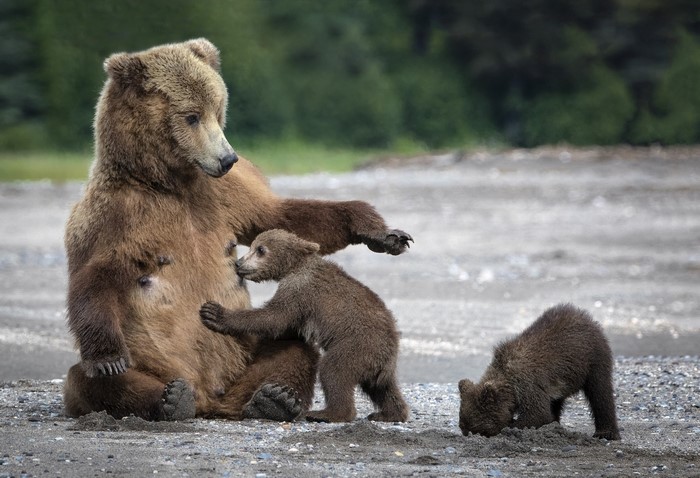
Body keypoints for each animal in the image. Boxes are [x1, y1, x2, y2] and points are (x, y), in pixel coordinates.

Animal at [199, 229, 410, 423]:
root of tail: (389, 353)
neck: (294, 266)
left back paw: (326, 413)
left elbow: (274, 317)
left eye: (260, 249)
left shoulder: (299, 290)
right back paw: (388, 414)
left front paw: (214, 313)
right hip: (377, 363)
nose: (239, 263)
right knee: (383, 389)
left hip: (357, 345)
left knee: (333, 371)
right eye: (252, 246)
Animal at [458, 303, 620, 440]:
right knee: (556, 401)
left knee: (600, 392)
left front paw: (512, 425)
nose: (469, 434)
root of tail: (585, 316)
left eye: (479, 429)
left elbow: (537, 414)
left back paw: (606, 433)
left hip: (592, 357)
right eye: (463, 427)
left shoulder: (528, 383)